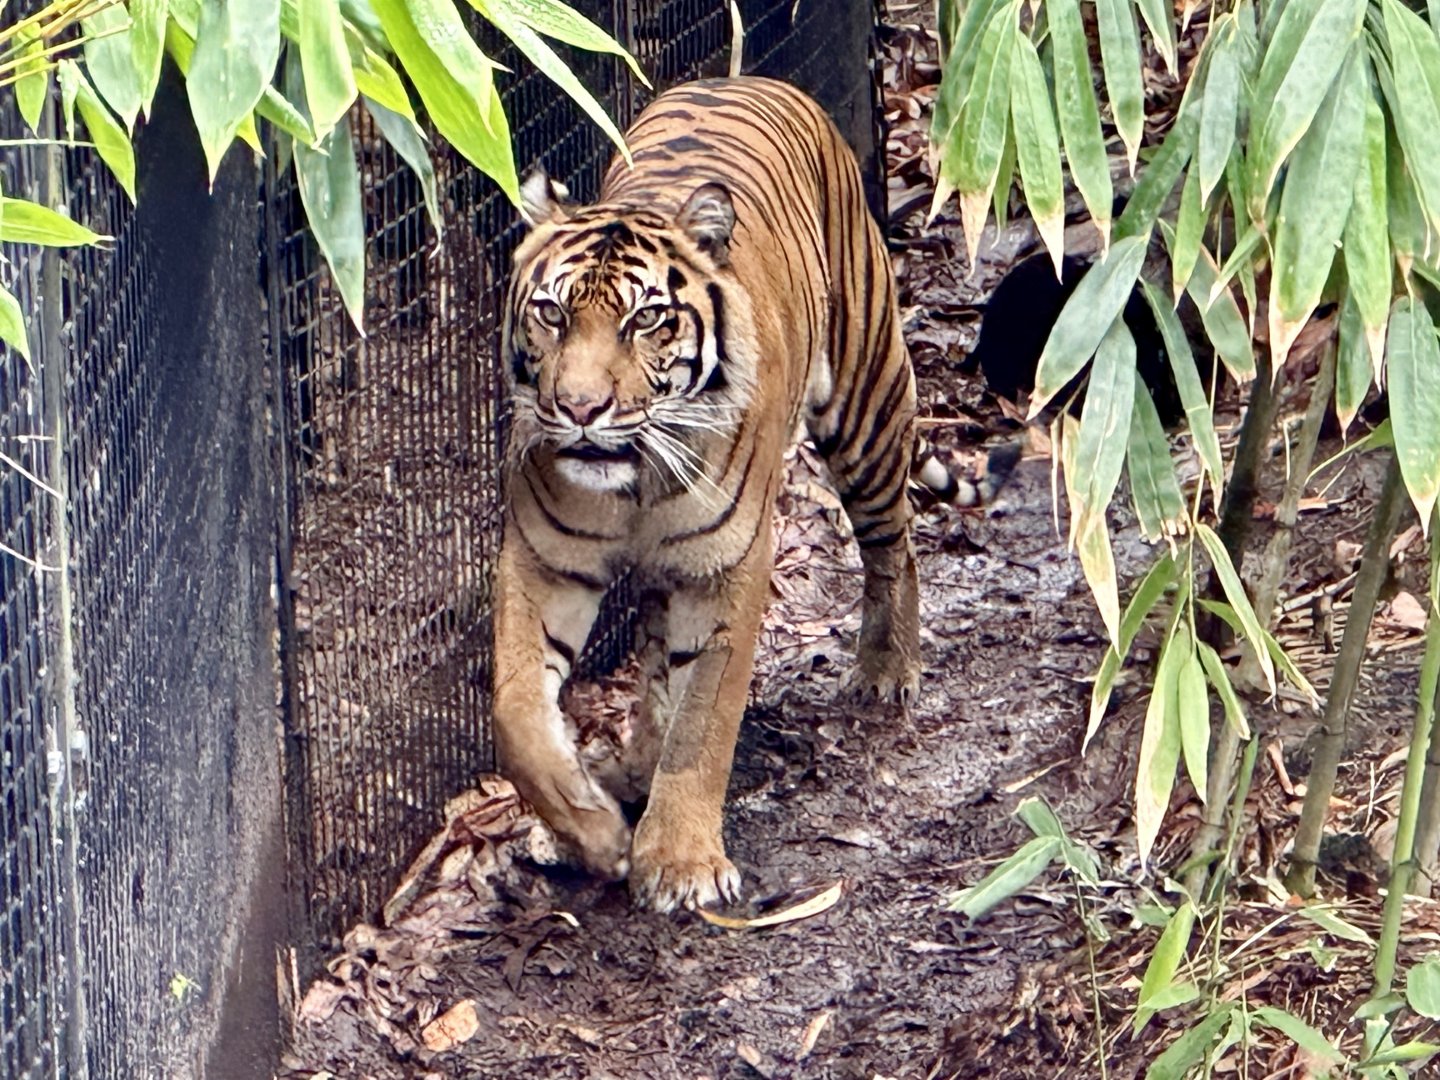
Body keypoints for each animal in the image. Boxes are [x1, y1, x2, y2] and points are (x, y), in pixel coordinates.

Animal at [494, 76, 920, 913]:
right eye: (552, 313)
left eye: (646, 319)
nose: (580, 408)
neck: (635, 481)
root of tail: (745, 76)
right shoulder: (543, 559)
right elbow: (518, 710)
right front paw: (592, 831)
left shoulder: (730, 569)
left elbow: (704, 722)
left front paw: (681, 862)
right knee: (655, 654)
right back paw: (630, 767)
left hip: (868, 402)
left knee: (895, 537)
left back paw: (887, 668)